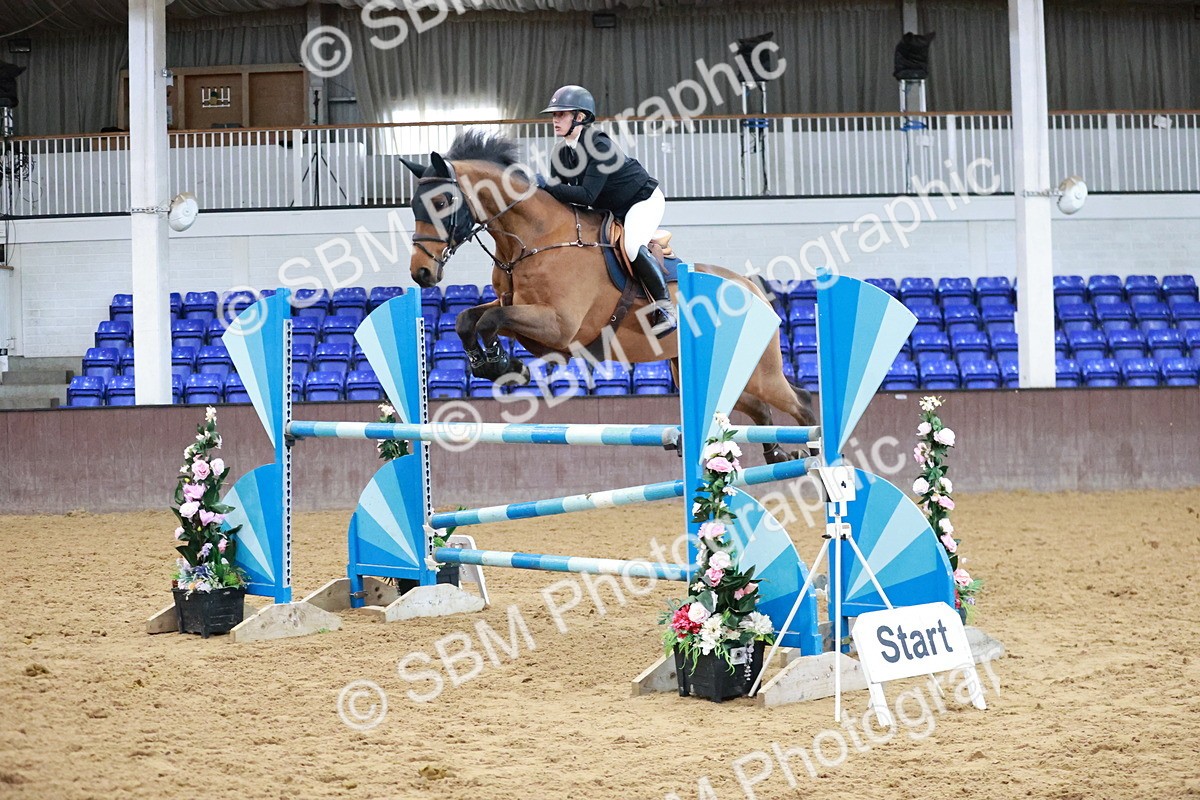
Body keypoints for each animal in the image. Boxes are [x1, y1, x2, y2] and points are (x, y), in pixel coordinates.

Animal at [400, 130, 814, 463]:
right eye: (414, 205)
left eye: (442, 203)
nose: (421, 273)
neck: (533, 239)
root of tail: (752, 288)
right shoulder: (518, 310)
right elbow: (467, 319)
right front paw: (493, 364)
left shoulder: (558, 325)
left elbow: (489, 321)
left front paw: (503, 364)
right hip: (696, 370)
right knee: (760, 409)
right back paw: (776, 454)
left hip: (760, 372)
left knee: (802, 404)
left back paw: (813, 459)